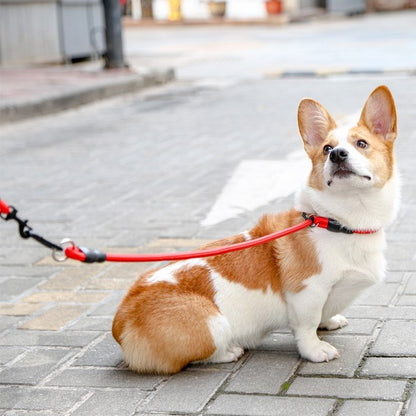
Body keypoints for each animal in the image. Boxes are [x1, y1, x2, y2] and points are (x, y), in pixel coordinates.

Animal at [112, 84, 398, 374]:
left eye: (361, 143)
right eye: (327, 148)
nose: (337, 154)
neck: (340, 221)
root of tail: (120, 322)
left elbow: (323, 315)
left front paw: (329, 322)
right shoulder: (307, 293)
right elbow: (307, 327)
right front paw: (316, 350)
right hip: (213, 323)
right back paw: (229, 352)